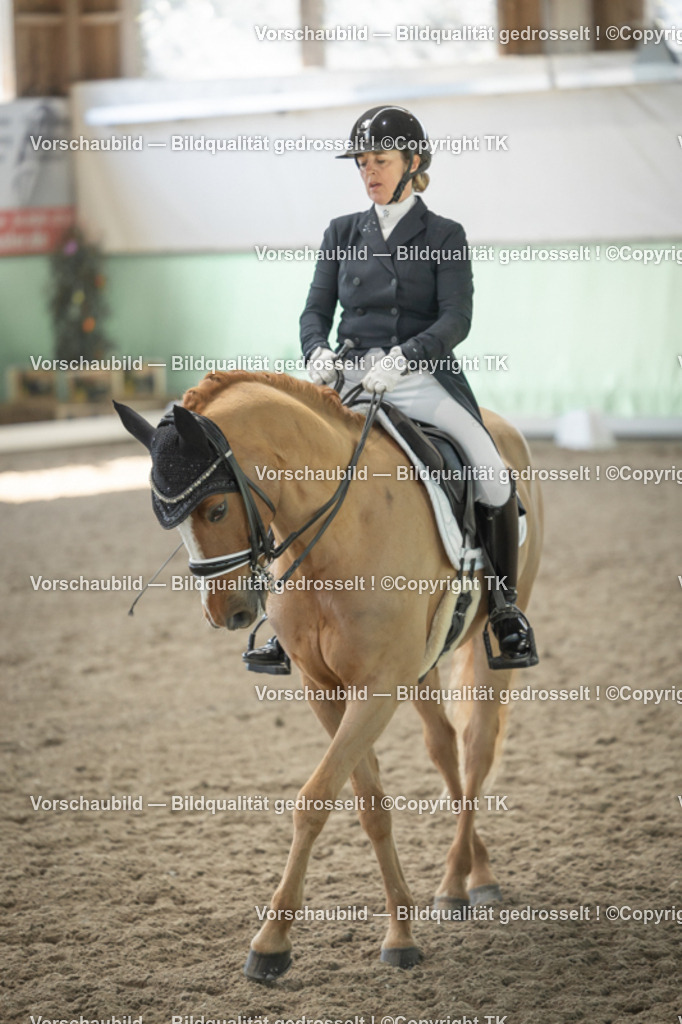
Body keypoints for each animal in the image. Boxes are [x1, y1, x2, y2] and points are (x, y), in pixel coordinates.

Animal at [115, 369, 543, 981]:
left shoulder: (378, 687)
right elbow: (368, 802)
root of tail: (503, 424)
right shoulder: (325, 688)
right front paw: (397, 932)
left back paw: (468, 878)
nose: (226, 614)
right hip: (422, 670)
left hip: (491, 646)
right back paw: (463, 877)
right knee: (444, 747)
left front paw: (273, 943)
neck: (337, 534)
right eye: (166, 522)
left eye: (217, 511)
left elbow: (316, 797)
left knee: (477, 747)